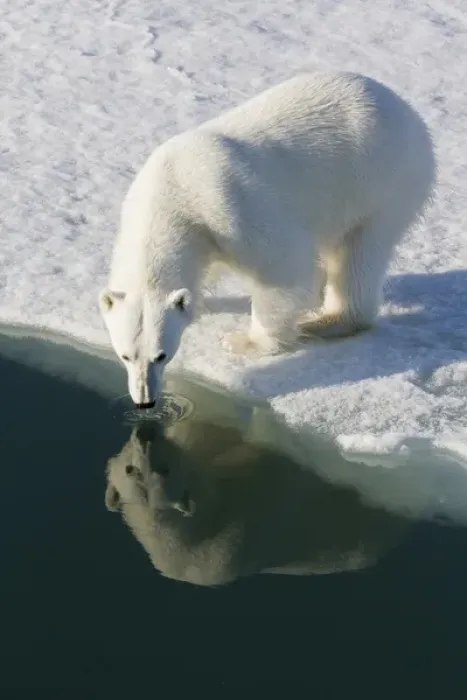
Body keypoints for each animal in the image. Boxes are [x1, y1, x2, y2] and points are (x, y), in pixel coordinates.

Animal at [98, 71, 436, 407]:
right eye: (125, 355)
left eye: (161, 355)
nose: (145, 400)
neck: (172, 188)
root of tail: (409, 113)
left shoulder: (227, 206)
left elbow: (285, 265)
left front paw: (243, 342)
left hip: (381, 182)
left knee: (358, 255)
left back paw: (326, 321)